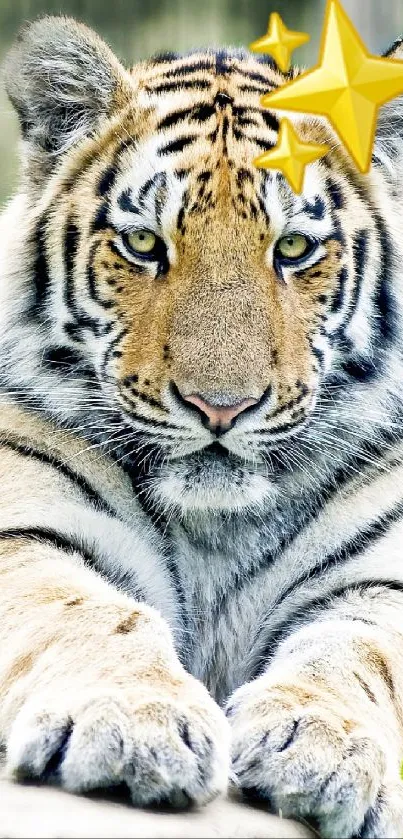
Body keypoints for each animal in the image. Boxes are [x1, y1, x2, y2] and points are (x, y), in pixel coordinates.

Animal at [0, 11, 403, 832]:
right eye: (143, 243)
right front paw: (132, 724)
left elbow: (357, 654)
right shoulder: (26, 525)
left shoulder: (382, 578)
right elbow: (88, 612)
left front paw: (321, 746)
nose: (221, 406)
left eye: (293, 247)